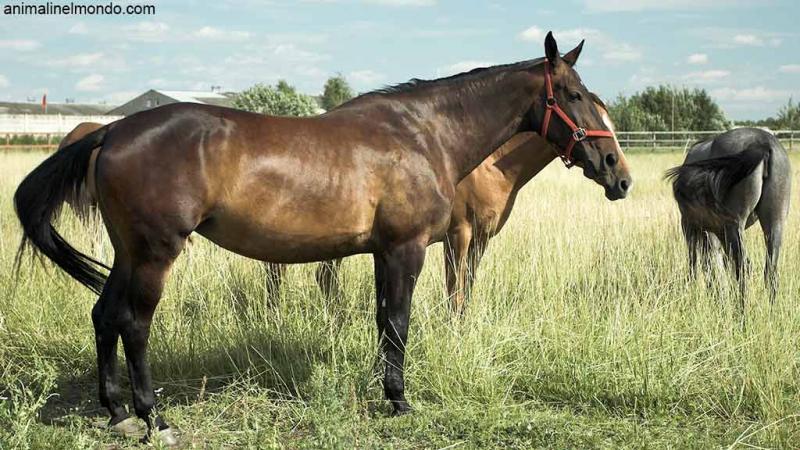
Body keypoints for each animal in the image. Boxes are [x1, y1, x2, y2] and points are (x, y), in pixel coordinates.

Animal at [264, 95, 630, 313]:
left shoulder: (480, 239)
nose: (622, 181)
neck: (492, 168)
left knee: (316, 276)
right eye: (591, 123)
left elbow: (468, 288)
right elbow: (455, 290)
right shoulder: (458, 236)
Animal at [665, 127, 791, 310]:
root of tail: (762, 143)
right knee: (770, 270)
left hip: (733, 226)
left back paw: (741, 312)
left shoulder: (692, 226)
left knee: (743, 267)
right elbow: (719, 263)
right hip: (775, 222)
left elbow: (697, 262)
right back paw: (770, 311)